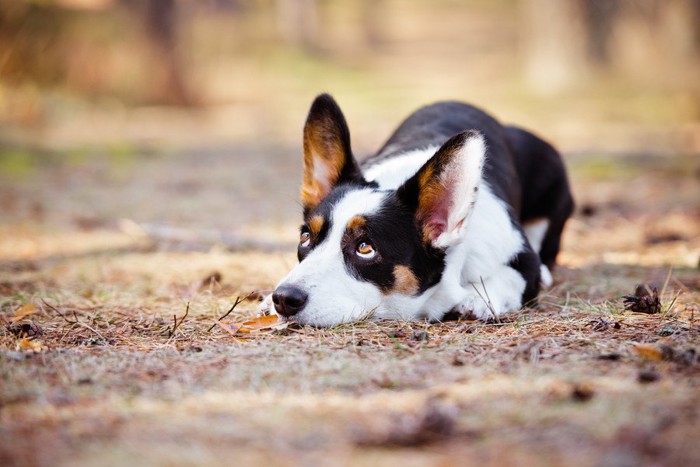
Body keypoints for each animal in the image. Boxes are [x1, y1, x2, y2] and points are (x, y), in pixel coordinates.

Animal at [264, 93, 576, 328]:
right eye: (306, 237)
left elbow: (511, 277)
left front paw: (476, 299)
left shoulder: (524, 261)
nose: (283, 299)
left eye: (365, 248)